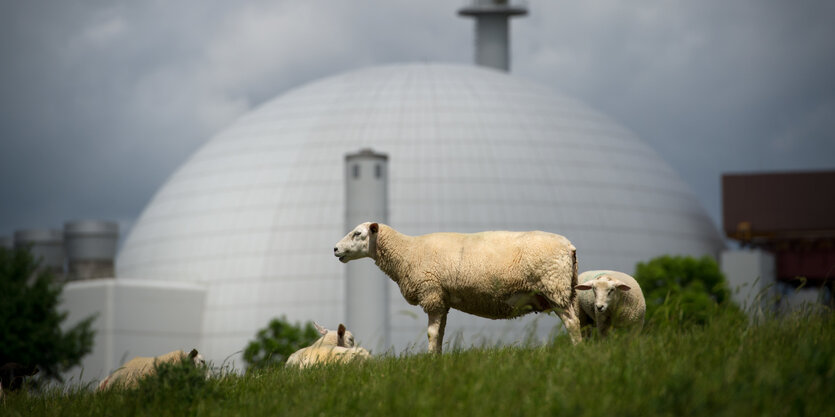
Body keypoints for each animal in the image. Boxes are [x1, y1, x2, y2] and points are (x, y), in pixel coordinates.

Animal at [334, 219, 580, 352]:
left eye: (357, 233)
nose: (335, 249)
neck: (407, 252)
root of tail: (569, 246)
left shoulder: (431, 293)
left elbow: (432, 334)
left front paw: (430, 359)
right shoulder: (442, 299)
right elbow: (440, 333)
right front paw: (437, 358)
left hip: (554, 287)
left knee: (572, 323)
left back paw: (577, 350)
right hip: (566, 290)